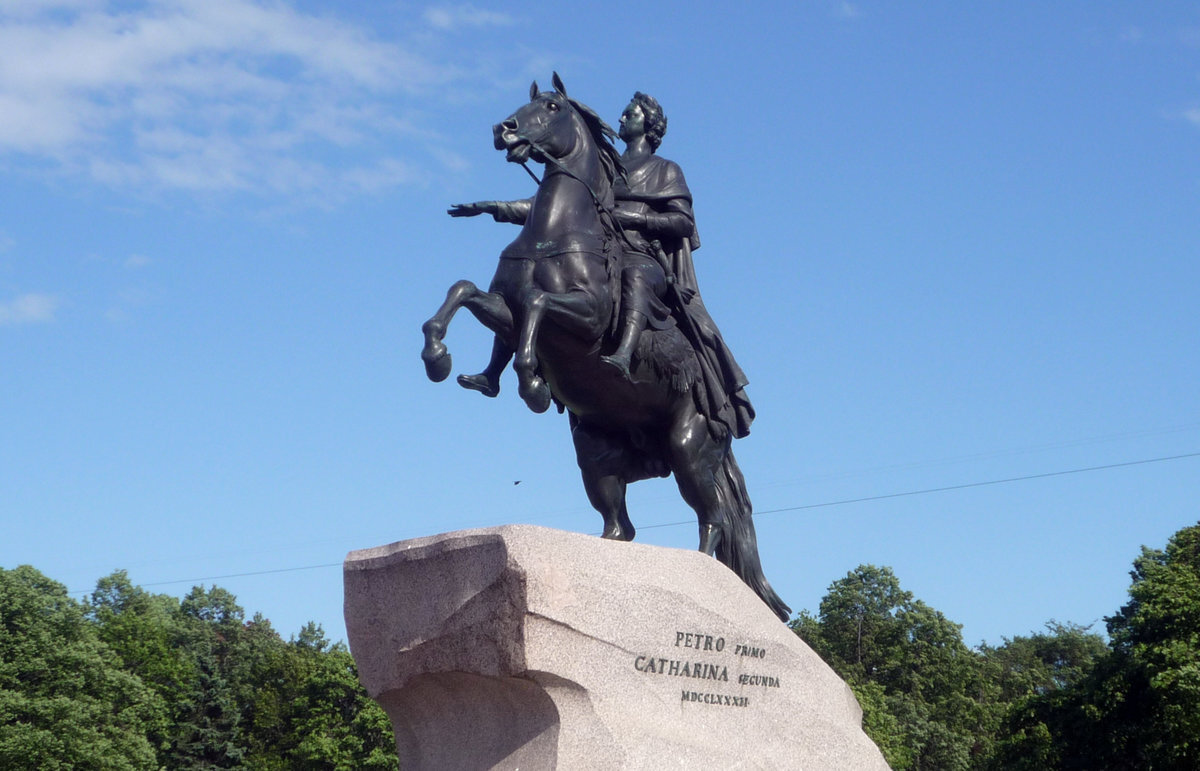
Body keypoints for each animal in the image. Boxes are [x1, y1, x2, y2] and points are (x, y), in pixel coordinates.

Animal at [417, 76, 792, 619]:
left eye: (551, 106)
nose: (503, 129)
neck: (555, 234)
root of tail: (724, 414)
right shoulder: (503, 309)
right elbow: (465, 291)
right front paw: (441, 359)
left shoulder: (587, 318)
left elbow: (537, 304)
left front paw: (532, 383)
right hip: (597, 457)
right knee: (622, 528)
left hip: (689, 449)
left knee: (716, 519)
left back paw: (702, 573)